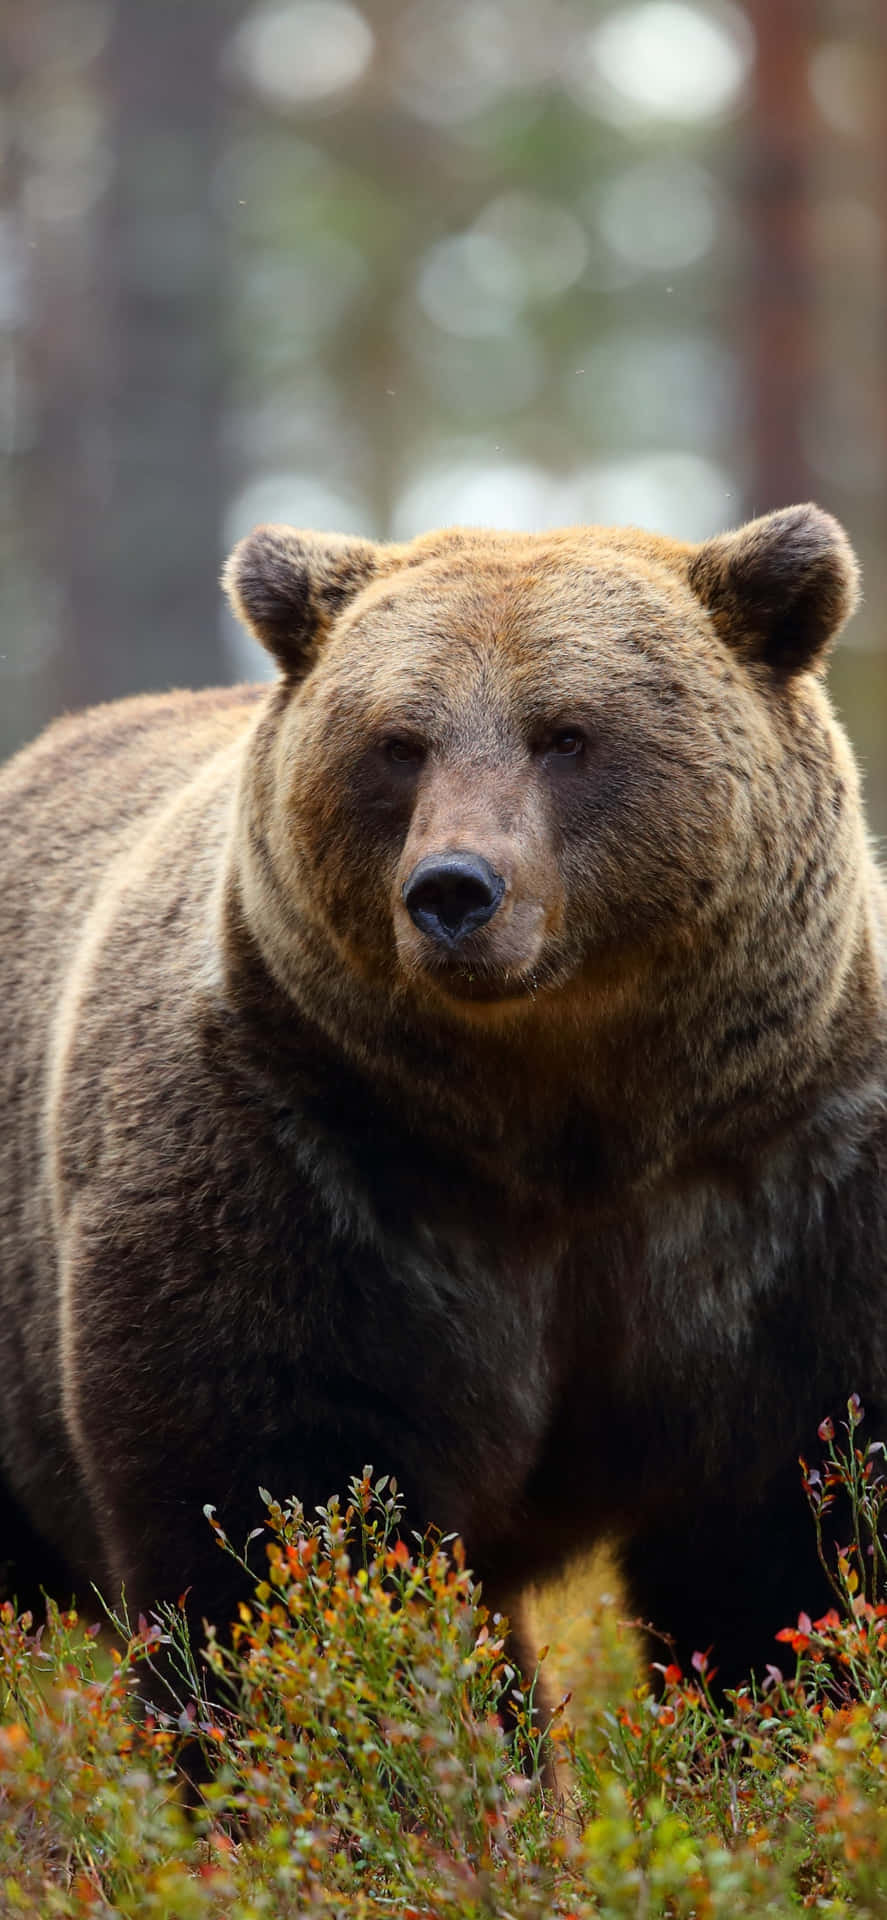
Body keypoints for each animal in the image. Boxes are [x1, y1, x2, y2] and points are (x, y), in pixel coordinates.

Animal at [0, 502, 884, 1707]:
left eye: (566, 734)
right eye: (396, 742)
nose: (454, 889)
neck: (567, 1120)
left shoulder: (788, 1181)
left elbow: (787, 1541)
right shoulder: (308, 1159)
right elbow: (286, 1516)